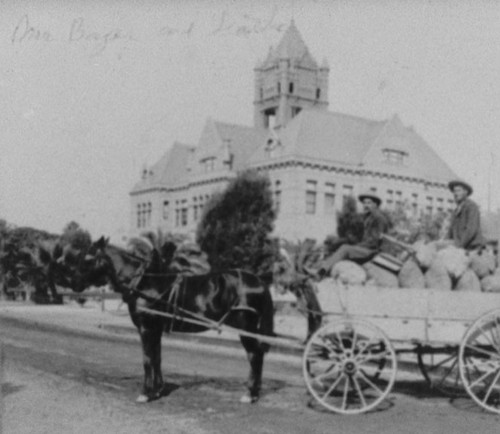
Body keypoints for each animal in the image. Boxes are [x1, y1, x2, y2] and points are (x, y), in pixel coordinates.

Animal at [71, 237, 274, 404]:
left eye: (88, 258)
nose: (74, 283)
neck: (144, 283)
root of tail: (259, 281)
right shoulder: (156, 329)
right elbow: (157, 358)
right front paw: (158, 390)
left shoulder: (146, 328)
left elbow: (147, 359)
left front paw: (145, 393)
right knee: (257, 355)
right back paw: (254, 392)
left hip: (246, 327)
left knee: (254, 355)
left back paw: (250, 394)